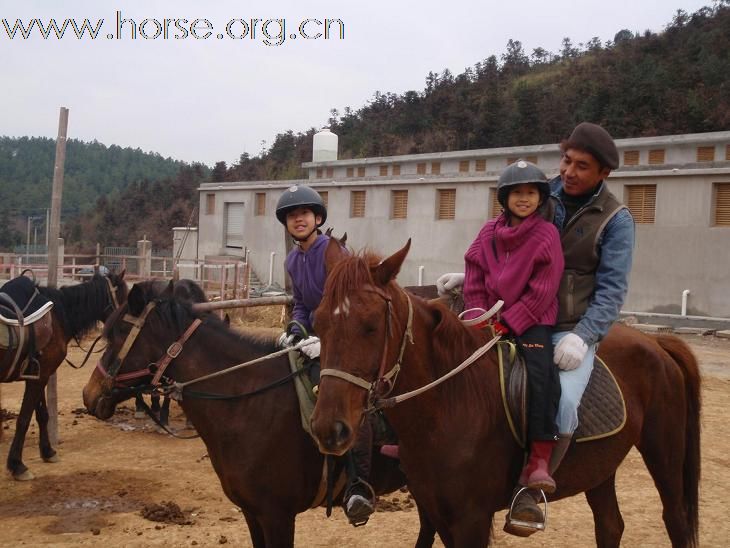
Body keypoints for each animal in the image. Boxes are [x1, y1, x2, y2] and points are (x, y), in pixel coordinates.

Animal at [0, 272, 127, 480]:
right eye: (125, 298)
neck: (58, 318)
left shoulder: (38, 374)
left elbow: (42, 415)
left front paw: (48, 452)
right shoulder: (40, 376)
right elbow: (24, 419)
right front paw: (17, 465)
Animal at [308, 242, 700, 548]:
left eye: (371, 326)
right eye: (319, 323)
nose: (329, 429)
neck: (450, 404)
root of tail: (654, 342)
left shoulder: (471, 518)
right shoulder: (439, 512)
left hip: (663, 453)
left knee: (675, 521)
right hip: (600, 467)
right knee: (610, 526)